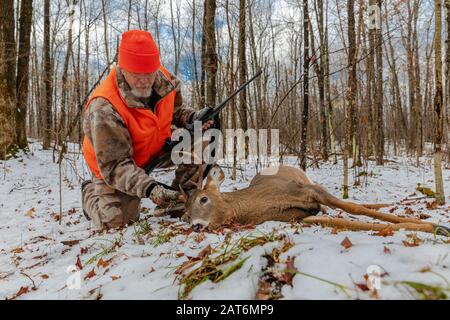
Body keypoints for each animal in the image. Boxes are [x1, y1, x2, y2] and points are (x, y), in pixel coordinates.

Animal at [170, 165, 450, 235]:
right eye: (185, 214)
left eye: (203, 199)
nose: (195, 225)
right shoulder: (299, 217)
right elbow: (345, 222)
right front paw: (434, 227)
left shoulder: (309, 189)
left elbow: (353, 207)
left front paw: (437, 226)